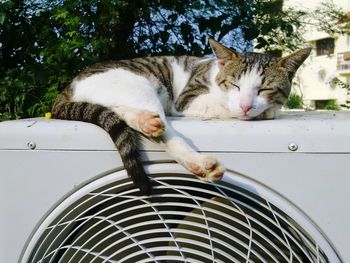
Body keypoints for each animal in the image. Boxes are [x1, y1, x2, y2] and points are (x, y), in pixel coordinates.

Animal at [50, 39, 310, 196]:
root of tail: (68, 87)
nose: (246, 105)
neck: (214, 72)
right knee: (167, 133)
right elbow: (225, 105)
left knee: (123, 112)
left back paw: (144, 120)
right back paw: (199, 163)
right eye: (235, 85)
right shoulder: (187, 99)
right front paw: (265, 111)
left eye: (264, 89)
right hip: (141, 85)